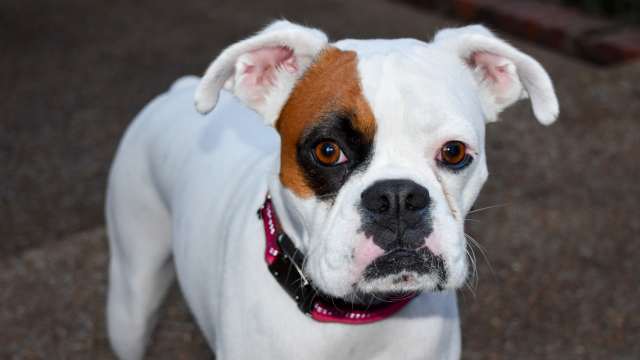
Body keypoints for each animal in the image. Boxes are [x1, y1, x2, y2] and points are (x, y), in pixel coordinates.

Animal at [105, 20, 556, 360]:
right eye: (327, 150)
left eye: (455, 151)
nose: (397, 197)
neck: (355, 323)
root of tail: (178, 89)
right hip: (131, 299)